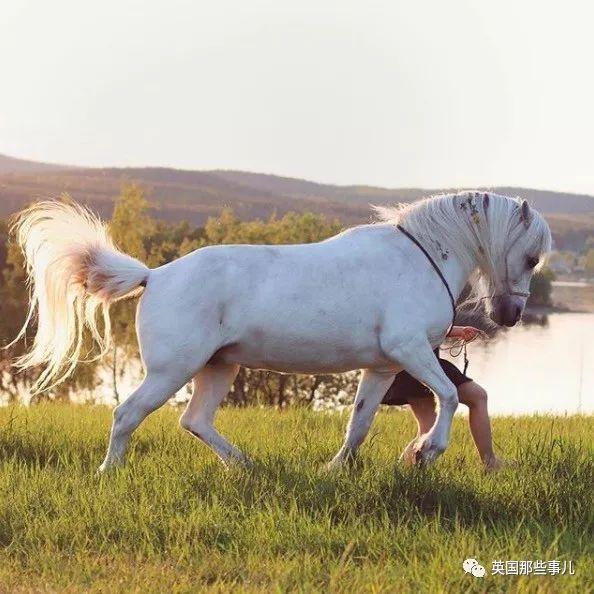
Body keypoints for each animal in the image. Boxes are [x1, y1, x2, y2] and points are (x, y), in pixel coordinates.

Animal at [9, 192, 548, 470]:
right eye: (530, 256)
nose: (509, 315)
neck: (420, 257)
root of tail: (154, 276)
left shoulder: (382, 368)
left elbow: (359, 423)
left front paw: (335, 470)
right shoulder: (410, 350)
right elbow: (449, 396)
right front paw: (428, 451)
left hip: (217, 368)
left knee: (195, 420)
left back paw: (246, 466)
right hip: (171, 370)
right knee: (127, 415)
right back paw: (111, 472)